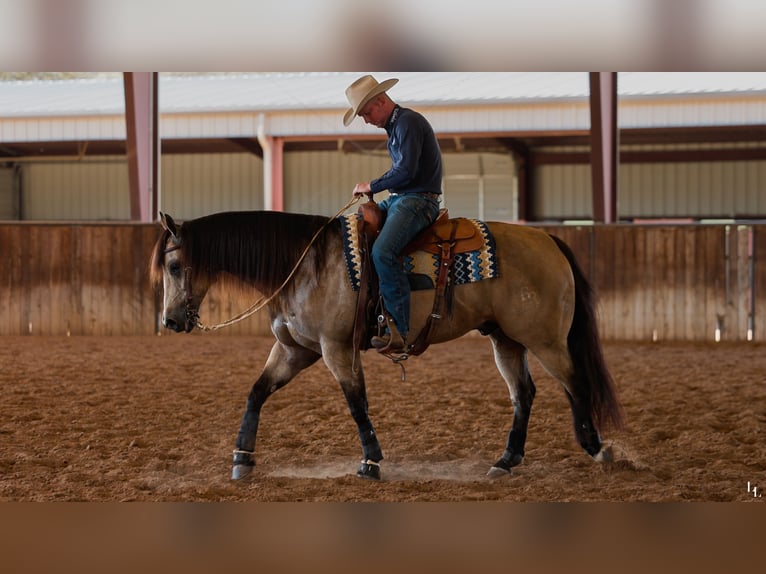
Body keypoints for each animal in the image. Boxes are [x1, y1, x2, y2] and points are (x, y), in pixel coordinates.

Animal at [149, 208, 623, 481]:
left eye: (173, 266)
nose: (170, 321)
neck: (306, 264)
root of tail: (548, 240)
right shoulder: (295, 349)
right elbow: (256, 393)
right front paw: (242, 458)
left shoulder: (335, 348)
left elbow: (356, 401)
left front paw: (371, 462)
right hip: (505, 339)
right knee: (523, 394)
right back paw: (506, 461)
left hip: (545, 340)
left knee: (576, 384)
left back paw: (598, 449)